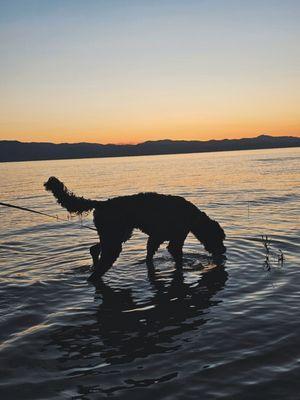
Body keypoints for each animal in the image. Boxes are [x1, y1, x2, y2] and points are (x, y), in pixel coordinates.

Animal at [45, 177, 225, 280]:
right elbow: (177, 259)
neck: (193, 217)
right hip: (114, 241)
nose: (224, 251)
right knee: (97, 269)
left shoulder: (155, 239)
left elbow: (149, 256)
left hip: (115, 236)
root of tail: (101, 204)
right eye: (219, 238)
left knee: (94, 249)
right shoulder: (176, 241)